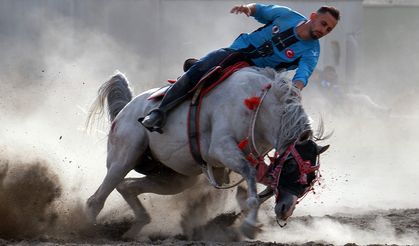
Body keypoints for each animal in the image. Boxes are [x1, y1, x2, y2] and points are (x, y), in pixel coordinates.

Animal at [84, 66, 328, 239]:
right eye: (292, 166)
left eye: (311, 179)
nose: (285, 209)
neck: (260, 105)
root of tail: (126, 110)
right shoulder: (221, 149)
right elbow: (249, 176)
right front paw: (249, 225)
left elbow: (260, 182)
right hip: (123, 158)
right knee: (96, 200)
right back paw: (85, 229)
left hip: (174, 178)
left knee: (127, 187)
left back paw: (135, 229)